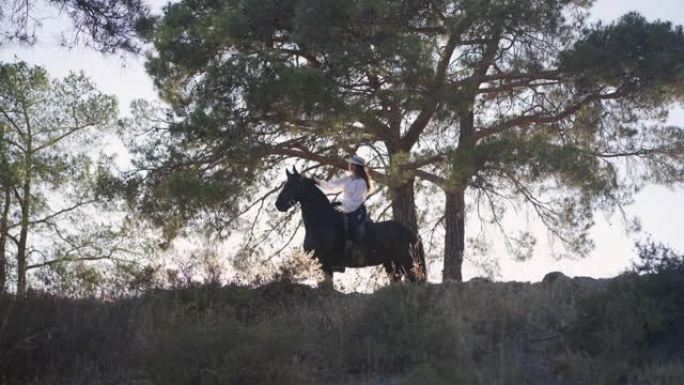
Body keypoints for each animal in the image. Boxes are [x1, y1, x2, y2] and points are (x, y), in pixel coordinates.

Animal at [274, 167, 424, 282]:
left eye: (293, 185)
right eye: (285, 184)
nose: (278, 204)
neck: (321, 222)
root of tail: (411, 234)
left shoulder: (325, 264)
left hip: (407, 263)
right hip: (392, 265)